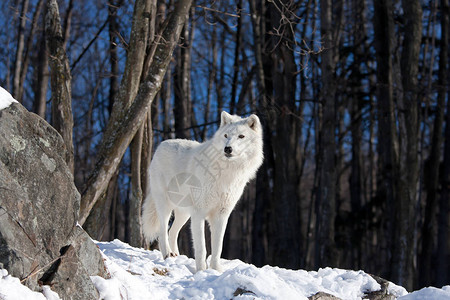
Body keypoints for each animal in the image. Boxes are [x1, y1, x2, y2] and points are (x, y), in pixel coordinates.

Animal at [142, 110, 264, 272]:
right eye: (226, 136)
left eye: (241, 136)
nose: (227, 149)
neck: (227, 173)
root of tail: (162, 144)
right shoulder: (199, 213)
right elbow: (201, 248)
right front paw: (201, 270)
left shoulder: (221, 215)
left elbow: (218, 247)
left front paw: (216, 270)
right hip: (165, 206)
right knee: (163, 231)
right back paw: (167, 254)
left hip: (184, 214)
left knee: (172, 232)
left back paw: (176, 255)